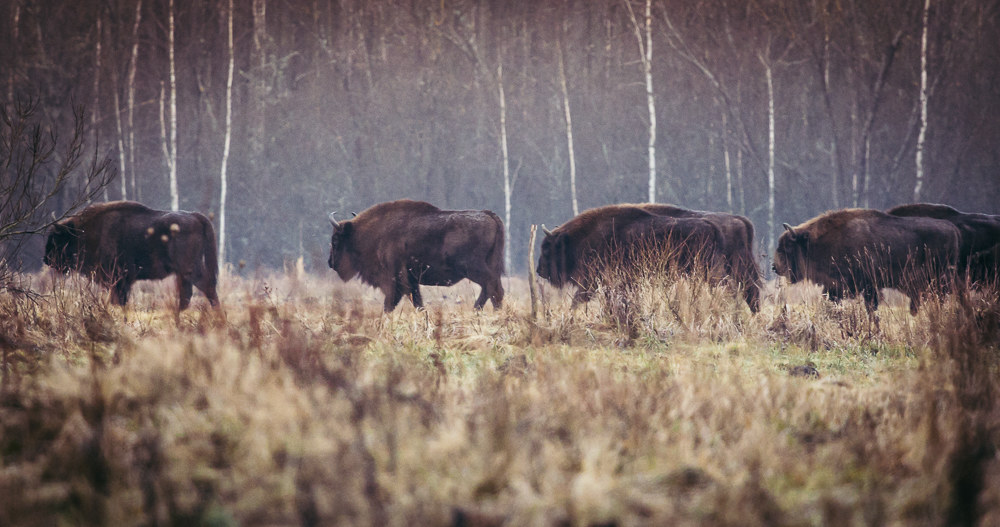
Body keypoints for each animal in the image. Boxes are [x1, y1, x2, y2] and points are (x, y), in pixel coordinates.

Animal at [44, 200, 219, 309]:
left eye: (56, 239)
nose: (46, 259)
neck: (84, 232)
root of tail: (196, 216)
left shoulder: (118, 279)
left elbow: (118, 300)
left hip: (190, 269)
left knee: (207, 287)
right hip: (183, 273)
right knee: (188, 294)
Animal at [328, 199, 505, 312]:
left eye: (335, 239)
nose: (330, 262)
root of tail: (488, 215)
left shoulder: (396, 281)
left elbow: (389, 304)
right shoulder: (412, 281)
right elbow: (418, 303)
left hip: (473, 268)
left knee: (492, 288)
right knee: (492, 290)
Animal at [773, 208, 960, 314]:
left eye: (788, 246)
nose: (775, 267)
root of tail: (953, 229)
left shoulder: (868, 286)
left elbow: (871, 309)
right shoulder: (835, 287)